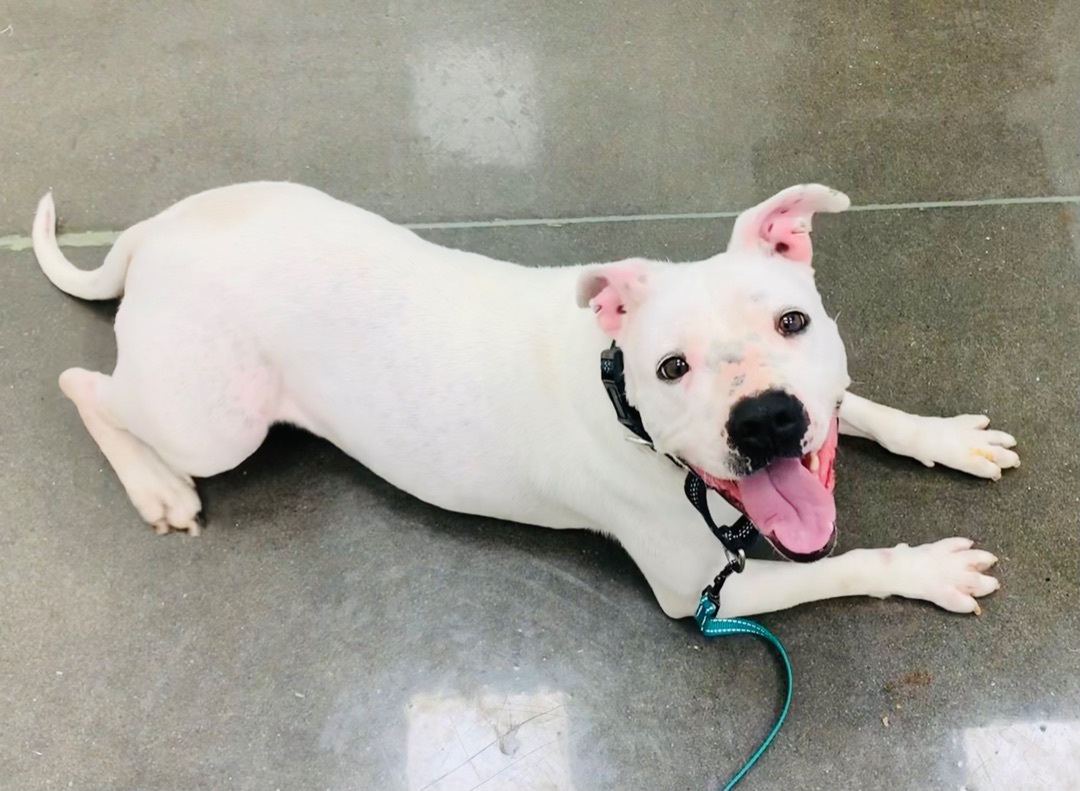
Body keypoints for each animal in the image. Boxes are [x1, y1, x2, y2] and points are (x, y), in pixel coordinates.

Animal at [29, 182, 1015, 622]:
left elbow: (862, 405)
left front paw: (943, 436)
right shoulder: (699, 589)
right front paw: (925, 569)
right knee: (84, 384)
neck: (620, 396)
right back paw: (156, 486)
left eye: (793, 320)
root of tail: (156, 229)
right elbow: (839, 566)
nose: (765, 419)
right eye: (671, 368)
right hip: (215, 423)